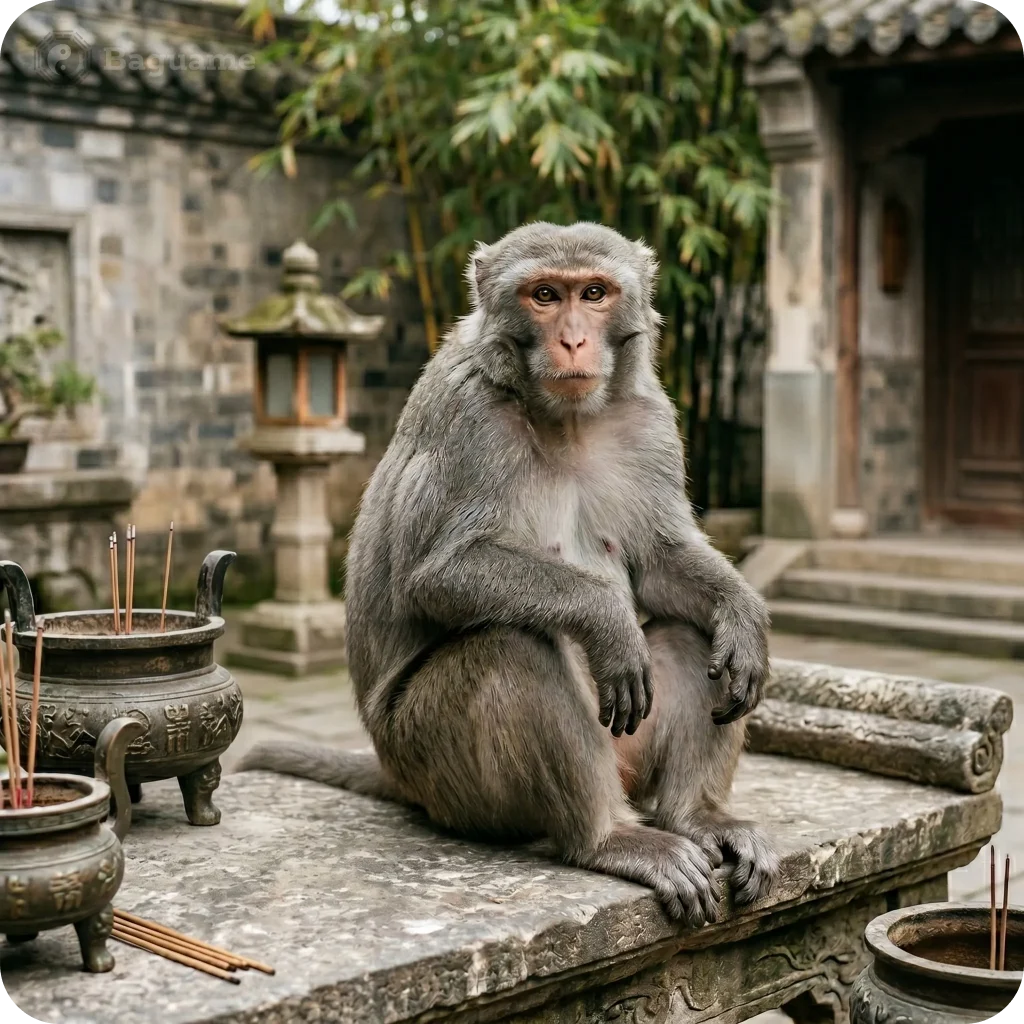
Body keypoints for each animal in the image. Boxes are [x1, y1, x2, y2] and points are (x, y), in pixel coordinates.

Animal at [237, 221, 778, 925]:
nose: (573, 340)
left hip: (625, 754)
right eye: (545, 295)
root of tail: (398, 774)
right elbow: (437, 576)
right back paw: (607, 838)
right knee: (510, 646)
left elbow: (662, 565)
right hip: (437, 766)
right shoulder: (469, 418)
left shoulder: (651, 420)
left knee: (694, 635)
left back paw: (698, 816)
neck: (566, 416)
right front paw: (609, 621)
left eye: (594, 293)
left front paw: (743, 614)